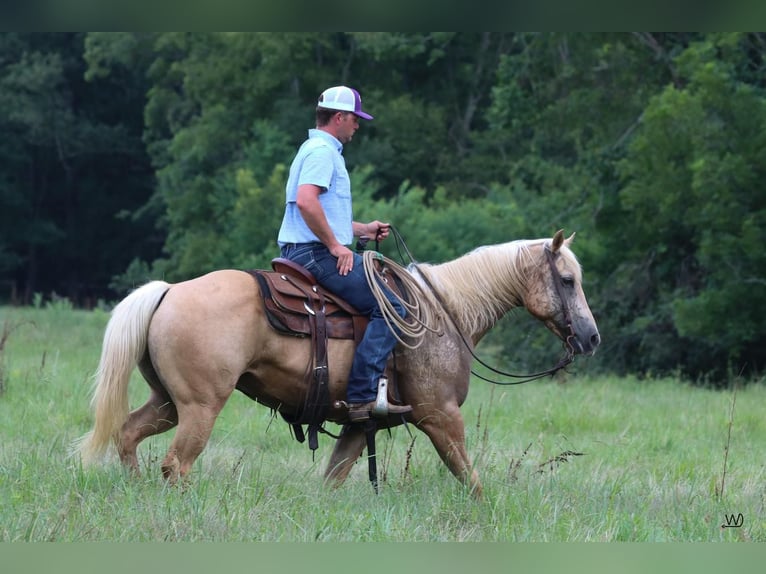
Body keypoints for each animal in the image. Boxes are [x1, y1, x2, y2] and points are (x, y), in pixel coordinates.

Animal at [76, 232, 600, 498]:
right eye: (567, 280)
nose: (592, 336)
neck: (443, 314)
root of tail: (168, 291)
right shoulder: (440, 416)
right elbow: (470, 480)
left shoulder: (358, 425)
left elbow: (333, 478)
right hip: (200, 406)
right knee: (175, 466)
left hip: (167, 401)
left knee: (128, 436)